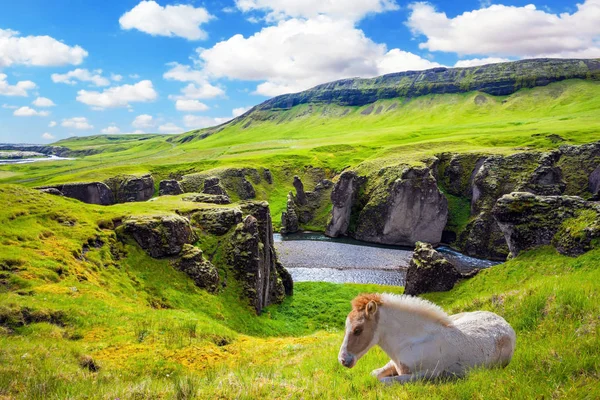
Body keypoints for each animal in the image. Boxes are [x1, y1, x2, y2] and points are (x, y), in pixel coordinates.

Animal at [338, 292, 516, 382]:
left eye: (358, 330)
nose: (343, 360)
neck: (411, 342)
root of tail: (503, 321)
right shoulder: (393, 363)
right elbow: (375, 374)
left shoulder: (430, 374)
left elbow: (385, 381)